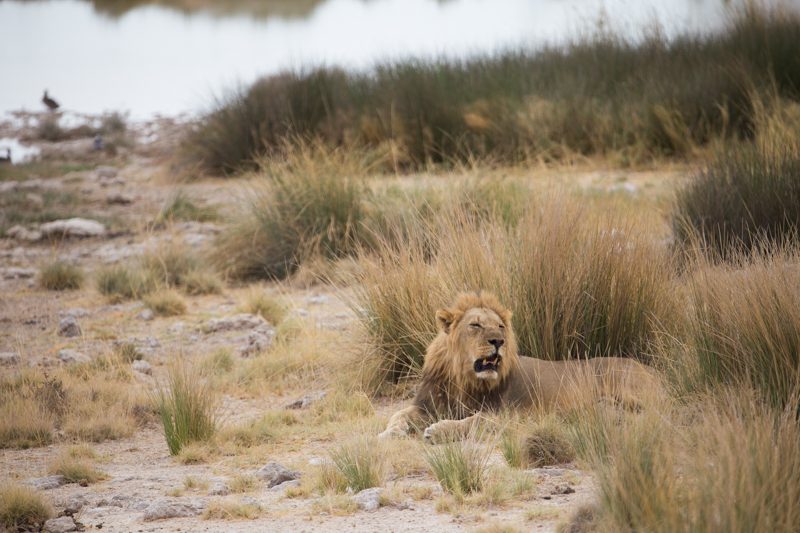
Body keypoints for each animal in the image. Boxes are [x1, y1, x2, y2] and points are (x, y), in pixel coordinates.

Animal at [378, 288, 660, 442]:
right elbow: (398, 414)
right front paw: (389, 433)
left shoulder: (508, 415)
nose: (498, 341)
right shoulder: (427, 405)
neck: (463, 379)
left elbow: (474, 421)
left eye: (501, 326)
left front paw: (438, 431)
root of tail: (653, 370)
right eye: (475, 325)